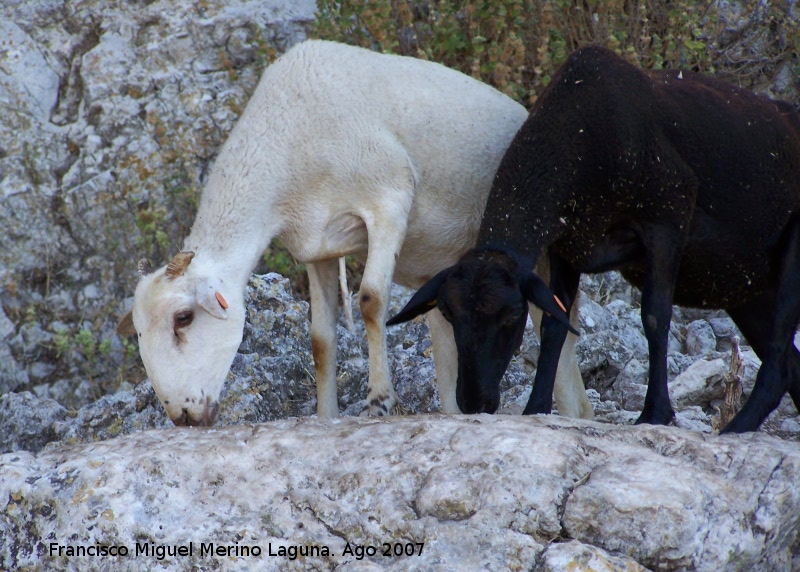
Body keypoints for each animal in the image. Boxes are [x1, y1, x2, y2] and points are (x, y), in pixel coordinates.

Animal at [117, 39, 592, 424]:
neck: (287, 144)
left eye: (183, 318)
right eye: (138, 333)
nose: (181, 417)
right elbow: (321, 339)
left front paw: (380, 401)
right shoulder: (317, 247)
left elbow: (371, 300)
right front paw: (327, 415)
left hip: (540, 266)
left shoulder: (389, 201)